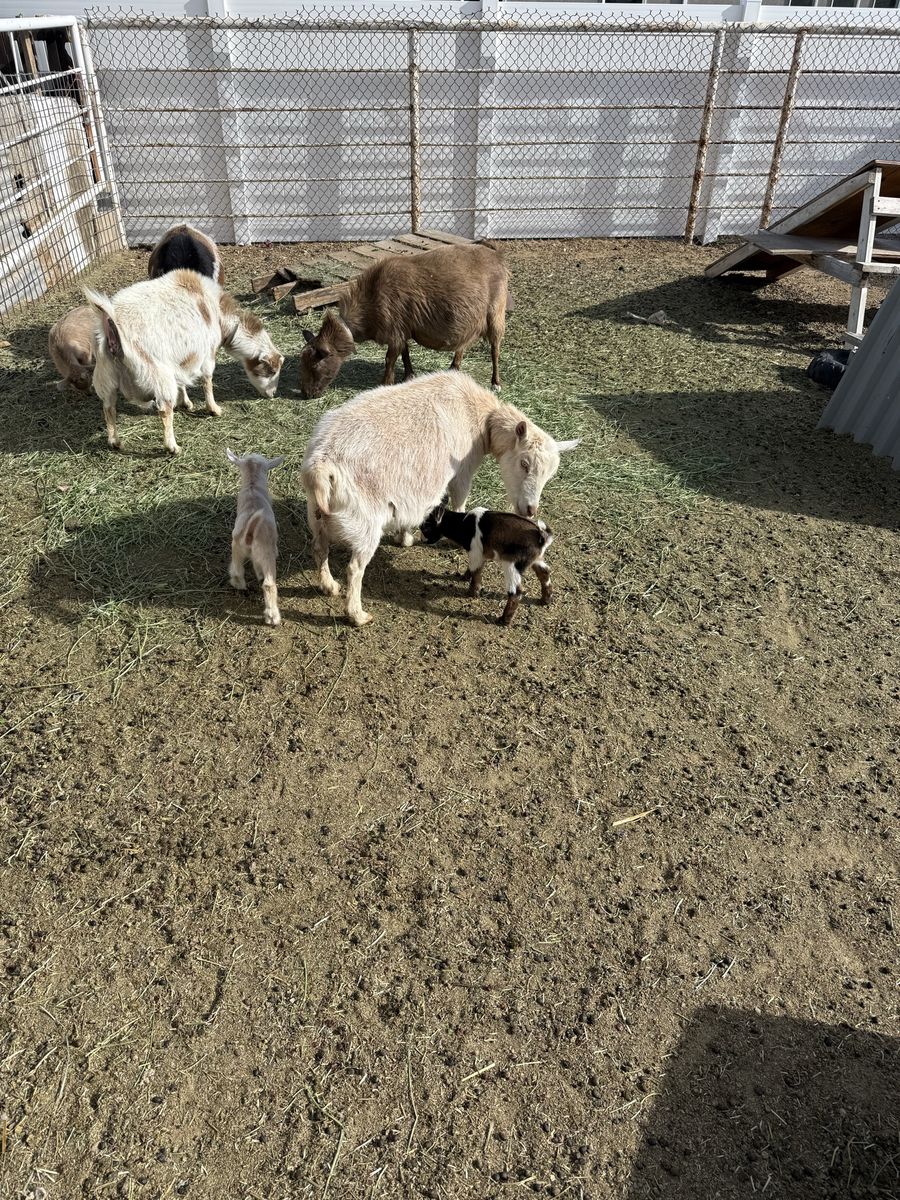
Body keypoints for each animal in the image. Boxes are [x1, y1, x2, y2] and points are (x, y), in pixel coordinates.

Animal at [85, 270, 284, 455]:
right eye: (271, 370)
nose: (273, 394)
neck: (219, 315)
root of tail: (112, 330)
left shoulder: (182, 359)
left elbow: (182, 380)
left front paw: (186, 403)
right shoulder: (207, 353)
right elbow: (207, 380)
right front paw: (214, 409)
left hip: (105, 376)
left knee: (108, 407)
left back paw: (115, 442)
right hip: (158, 374)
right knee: (164, 410)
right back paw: (172, 447)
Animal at [226, 448, 284, 626]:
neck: (252, 486)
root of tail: (250, 533)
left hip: (236, 546)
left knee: (237, 570)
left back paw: (238, 584)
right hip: (265, 553)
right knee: (268, 585)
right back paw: (272, 616)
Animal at [299, 242, 509, 399]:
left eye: (316, 363)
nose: (306, 394)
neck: (373, 296)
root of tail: (497, 256)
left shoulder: (394, 333)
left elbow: (389, 359)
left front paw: (385, 384)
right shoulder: (402, 330)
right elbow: (405, 353)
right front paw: (409, 375)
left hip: (496, 314)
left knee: (495, 349)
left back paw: (496, 383)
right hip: (471, 321)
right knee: (463, 344)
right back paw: (454, 368)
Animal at [420, 505, 553, 626]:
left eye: (426, 527)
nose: (423, 541)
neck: (463, 523)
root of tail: (542, 537)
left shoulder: (475, 552)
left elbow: (476, 573)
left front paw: (472, 593)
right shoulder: (479, 556)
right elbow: (473, 568)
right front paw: (464, 577)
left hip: (512, 564)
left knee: (516, 592)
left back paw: (503, 620)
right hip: (536, 559)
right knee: (545, 573)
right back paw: (545, 600)